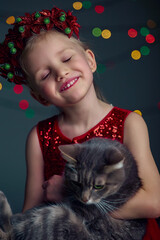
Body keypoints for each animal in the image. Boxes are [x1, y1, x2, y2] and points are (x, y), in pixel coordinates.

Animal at [0, 138, 147, 240]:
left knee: (13, 232)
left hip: (57, 217)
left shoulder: (85, 208)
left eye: (98, 186)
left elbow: (26, 216)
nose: (84, 199)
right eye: (77, 183)